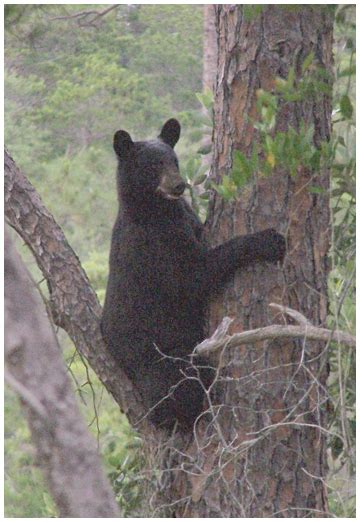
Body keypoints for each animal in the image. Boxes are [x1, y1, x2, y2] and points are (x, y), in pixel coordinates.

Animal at [100, 119, 284, 430]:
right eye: (153, 165)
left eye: (174, 161)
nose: (179, 185)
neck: (157, 211)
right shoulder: (152, 246)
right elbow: (193, 277)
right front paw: (268, 240)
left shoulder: (183, 218)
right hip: (159, 359)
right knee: (176, 386)